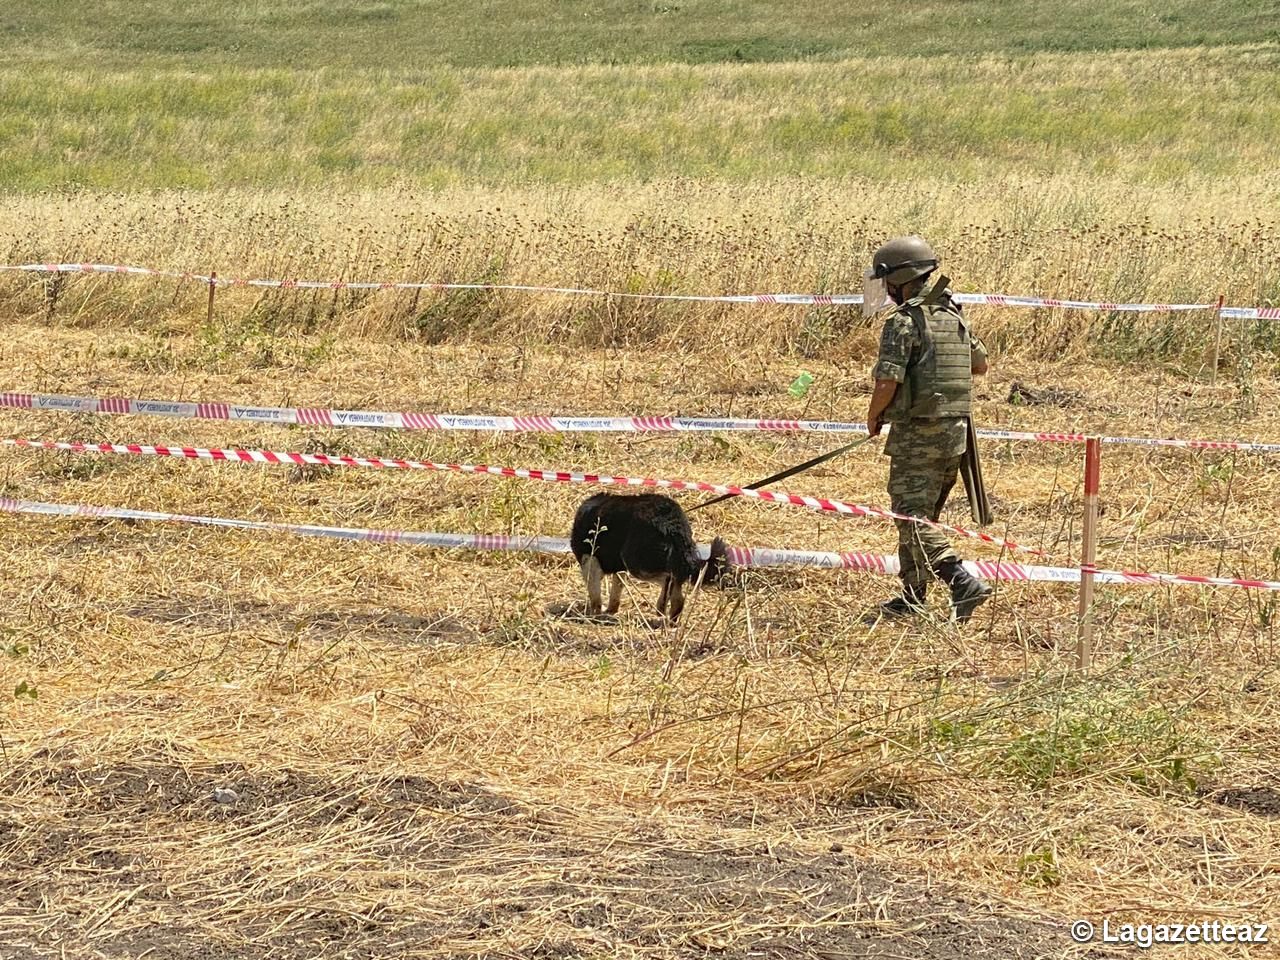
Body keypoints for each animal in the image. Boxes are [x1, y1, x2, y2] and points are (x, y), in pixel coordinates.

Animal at [570, 496, 732, 624]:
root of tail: (672, 521)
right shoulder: (619, 569)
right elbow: (615, 592)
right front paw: (610, 610)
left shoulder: (589, 561)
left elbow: (595, 595)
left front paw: (594, 614)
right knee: (677, 591)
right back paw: (671, 618)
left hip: (636, 562)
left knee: (668, 579)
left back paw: (661, 606)